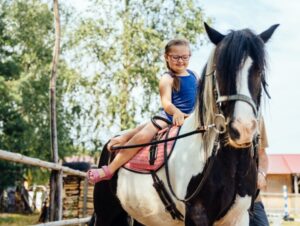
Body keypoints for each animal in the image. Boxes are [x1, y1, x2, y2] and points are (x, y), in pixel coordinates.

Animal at [90, 23, 278, 226]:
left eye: (259, 70)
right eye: (220, 70)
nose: (242, 128)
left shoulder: (239, 216)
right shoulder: (197, 215)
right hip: (106, 215)